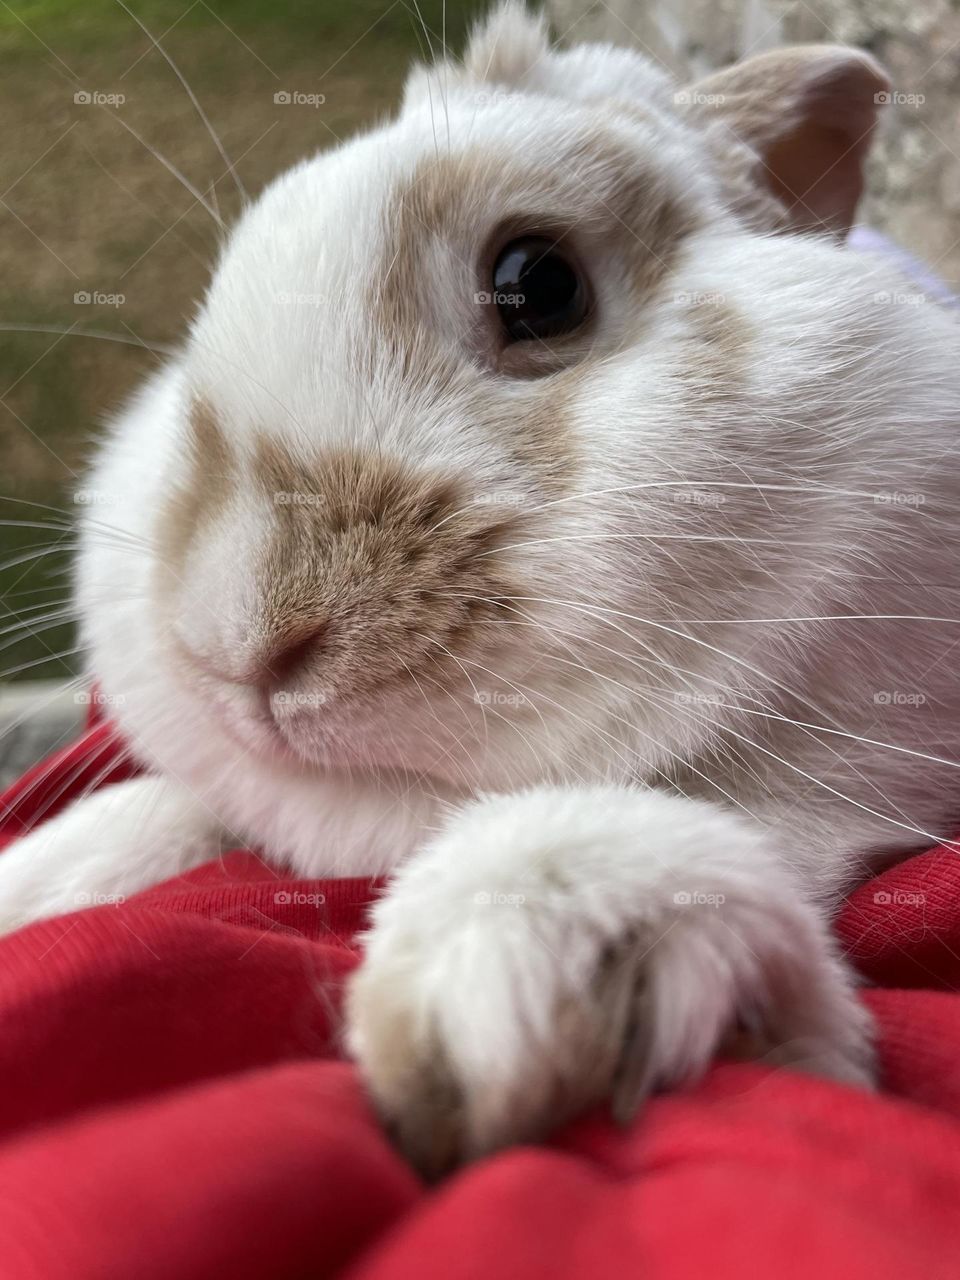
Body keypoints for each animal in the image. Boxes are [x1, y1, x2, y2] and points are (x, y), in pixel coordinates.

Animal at [3, 0, 960, 1179]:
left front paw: (495, 985)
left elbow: (712, 813)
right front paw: (41, 880)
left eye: (539, 286)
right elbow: (186, 811)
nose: (235, 648)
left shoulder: (864, 765)